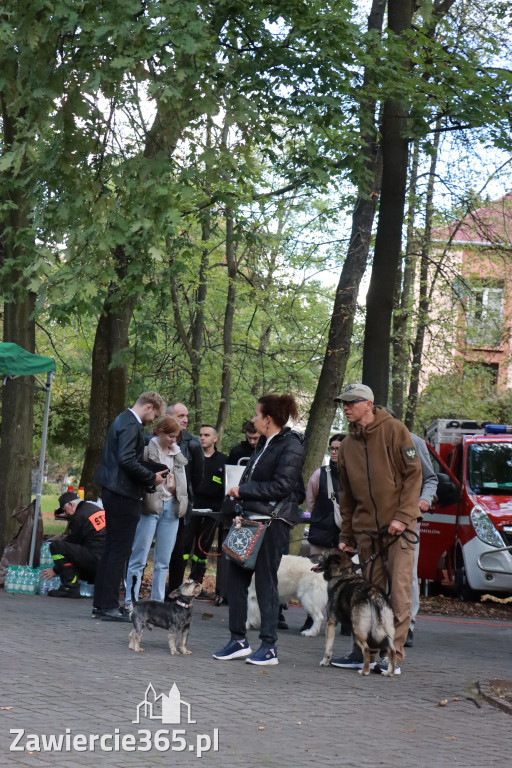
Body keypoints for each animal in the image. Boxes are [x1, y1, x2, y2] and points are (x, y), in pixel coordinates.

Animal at [320, 548, 396, 676]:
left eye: (322, 554)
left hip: (358, 631)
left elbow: (328, 648)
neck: (343, 572)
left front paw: (324, 662)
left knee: (366, 648)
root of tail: (373, 593)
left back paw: (365, 671)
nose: (313, 556)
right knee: (392, 649)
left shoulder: (330, 623)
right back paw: (389, 672)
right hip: (386, 628)